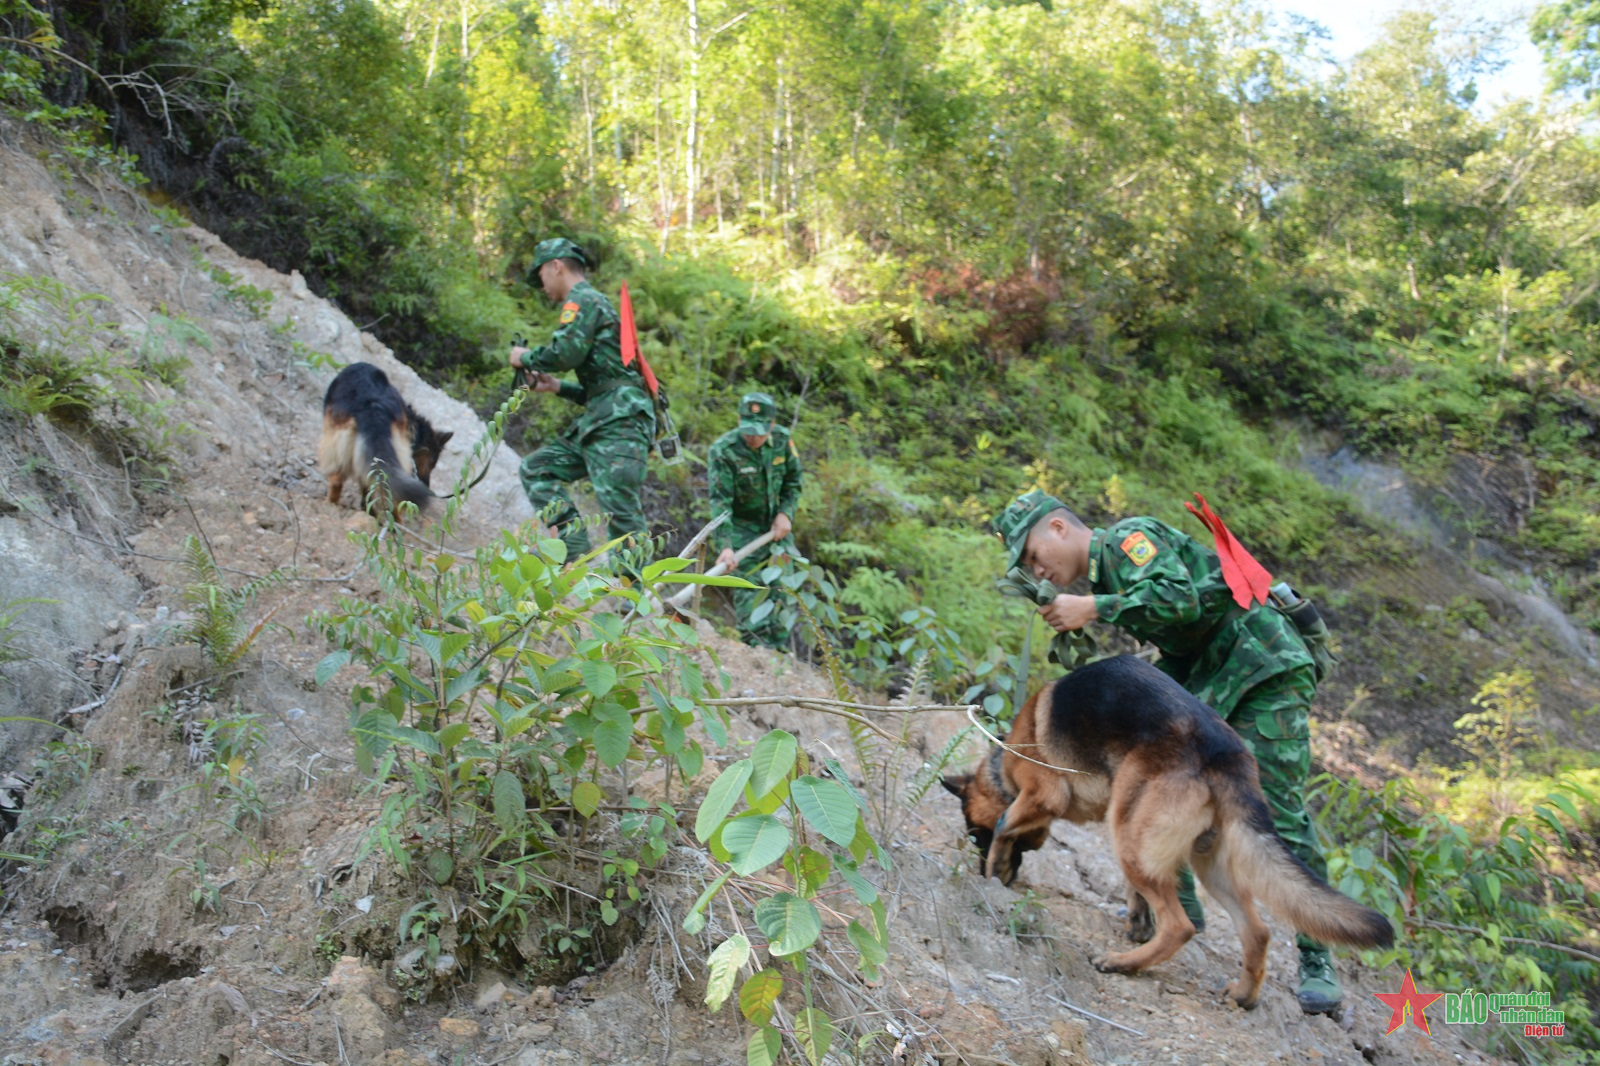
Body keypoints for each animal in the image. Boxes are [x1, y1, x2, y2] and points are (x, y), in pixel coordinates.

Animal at [940, 653, 1395, 1011]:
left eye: (975, 836)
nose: (982, 869)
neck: (1003, 767)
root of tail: (1226, 755)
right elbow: (1134, 893)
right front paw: (1137, 922)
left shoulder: (1042, 794)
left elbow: (1005, 823)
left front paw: (993, 869)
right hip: (1200, 861)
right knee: (1258, 930)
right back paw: (1243, 994)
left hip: (1130, 840)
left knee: (1181, 926)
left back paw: (1122, 963)